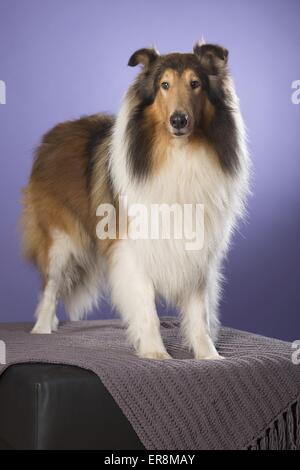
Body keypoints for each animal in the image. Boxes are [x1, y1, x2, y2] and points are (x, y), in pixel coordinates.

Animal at [21, 44, 248, 360]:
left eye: (195, 84)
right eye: (164, 85)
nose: (179, 121)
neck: (179, 154)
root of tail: (54, 133)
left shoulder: (197, 249)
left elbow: (199, 312)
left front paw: (209, 356)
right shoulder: (133, 247)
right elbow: (146, 307)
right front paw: (155, 353)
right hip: (60, 241)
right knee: (50, 286)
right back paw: (42, 328)